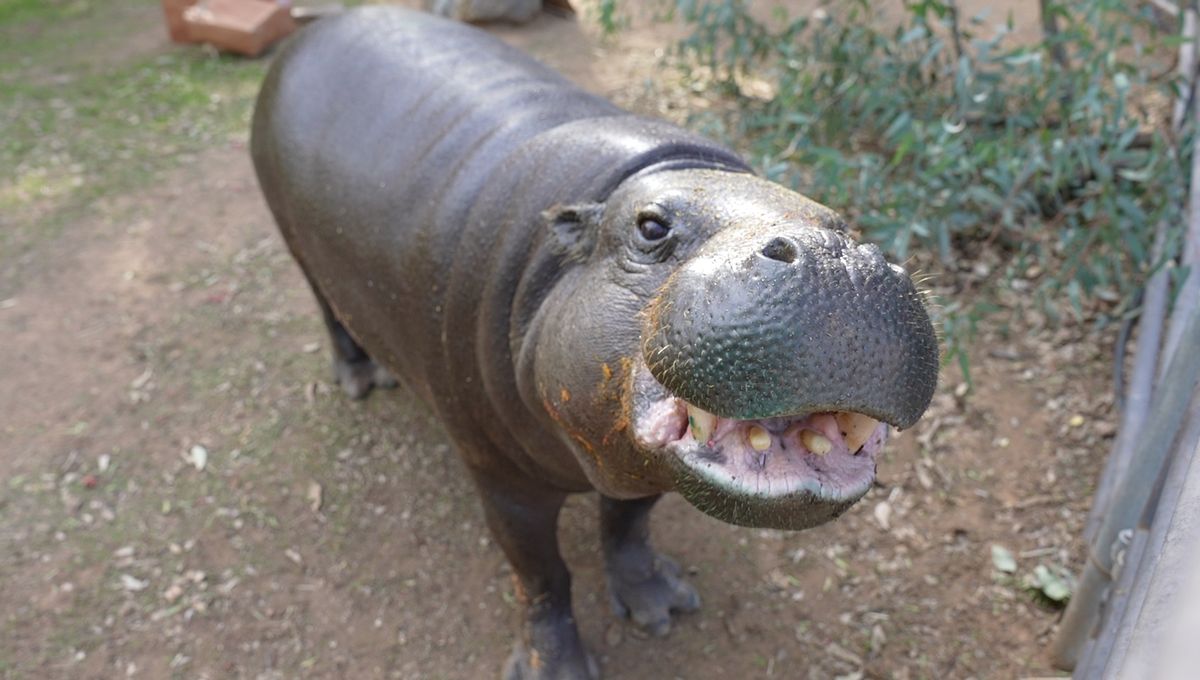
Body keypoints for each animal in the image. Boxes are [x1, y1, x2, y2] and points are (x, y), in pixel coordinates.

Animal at [250, 7, 939, 679]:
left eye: (838, 222)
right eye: (651, 227)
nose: (840, 257)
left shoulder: (633, 461)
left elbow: (628, 524)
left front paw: (659, 607)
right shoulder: (499, 476)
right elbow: (541, 576)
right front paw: (555, 669)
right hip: (295, 245)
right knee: (328, 309)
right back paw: (363, 379)